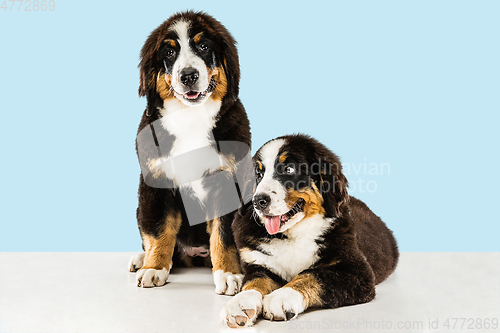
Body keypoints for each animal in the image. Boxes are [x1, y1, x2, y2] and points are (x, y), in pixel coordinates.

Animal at [129, 11, 252, 296]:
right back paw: (142, 259)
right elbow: (160, 230)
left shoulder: (229, 179)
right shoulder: (156, 181)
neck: (191, 119)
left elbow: (223, 234)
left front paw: (228, 273)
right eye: (169, 53)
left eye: (204, 47)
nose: (188, 76)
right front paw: (154, 267)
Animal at [221, 134, 396, 326]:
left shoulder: (356, 271)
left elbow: (312, 275)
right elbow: (254, 281)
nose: (258, 201)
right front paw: (241, 302)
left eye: (289, 169)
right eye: (258, 175)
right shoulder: (259, 264)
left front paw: (282, 296)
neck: (294, 235)